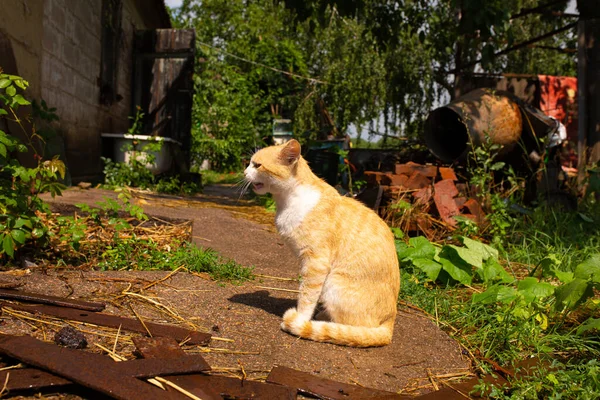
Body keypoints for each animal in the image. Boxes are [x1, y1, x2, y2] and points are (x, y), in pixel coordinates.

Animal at [244, 139, 398, 346]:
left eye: (257, 165)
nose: (244, 172)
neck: (287, 201)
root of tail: (390, 324)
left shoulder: (316, 262)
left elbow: (307, 295)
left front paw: (301, 320)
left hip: (333, 282)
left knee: (354, 327)